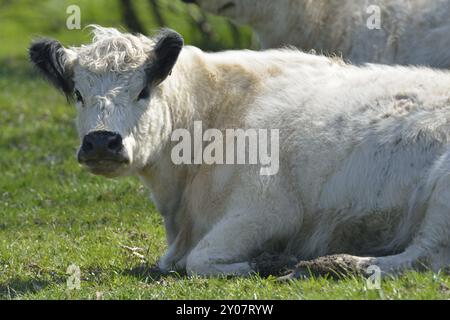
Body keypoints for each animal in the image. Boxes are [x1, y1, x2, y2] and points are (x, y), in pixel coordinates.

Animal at [29, 26, 448, 278]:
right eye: (78, 94)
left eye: (143, 91)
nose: (101, 141)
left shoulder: (268, 210)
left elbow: (198, 261)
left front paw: (268, 261)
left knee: (421, 255)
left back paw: (329, 263)